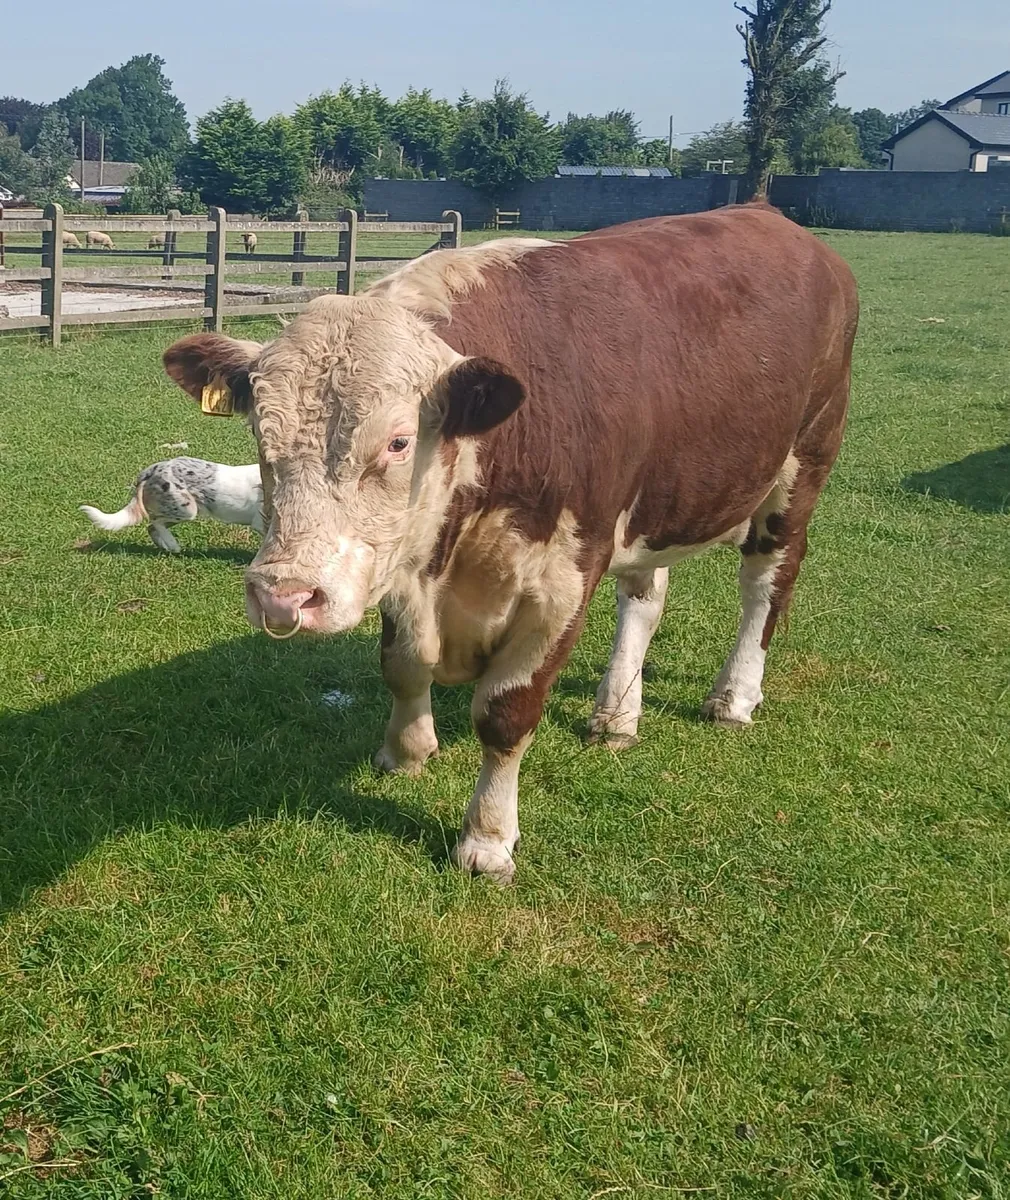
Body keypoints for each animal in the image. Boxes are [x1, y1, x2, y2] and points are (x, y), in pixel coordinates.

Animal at [162, 204, 859, 884]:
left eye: (398, 441)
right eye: (260, 431)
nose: (283, 597)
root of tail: (780, 224)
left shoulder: (562, 584)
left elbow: (506, 713)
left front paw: (487, 839)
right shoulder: (404, 566)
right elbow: (401, 665)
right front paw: (406, 751)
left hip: (803, 464)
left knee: (766, 585)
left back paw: (733, 696)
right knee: (644, 596)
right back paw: (616, 714)